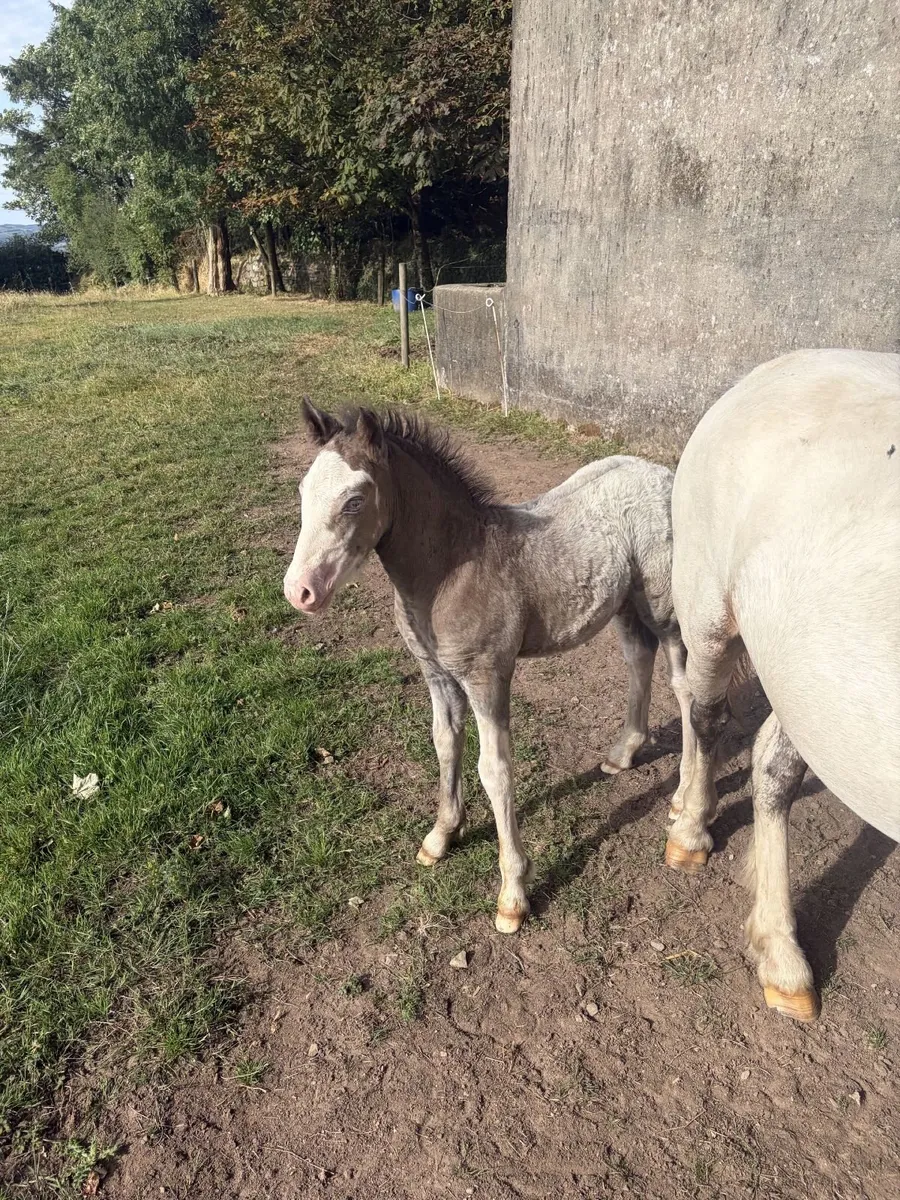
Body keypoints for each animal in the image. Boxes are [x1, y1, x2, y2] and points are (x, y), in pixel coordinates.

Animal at [283, 400, 695, 933]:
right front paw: (441, 835)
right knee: (637, 658)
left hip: (665, 607)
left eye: (354, 500)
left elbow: (494, 769)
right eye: (303, 490)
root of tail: (663, 473)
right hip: (624, 602)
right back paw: (624, 752)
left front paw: (513, 894)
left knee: (685, 688)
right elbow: (444, 742)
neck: (451, 567)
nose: (299, 592)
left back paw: (684, 799)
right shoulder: (437, 673)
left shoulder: (487, 677)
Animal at [669, 348, 900, 1021]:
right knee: (705, 714)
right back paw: (690, 828)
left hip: (812, 685)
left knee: (773, 763)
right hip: (709, 613)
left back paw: (781, 956)